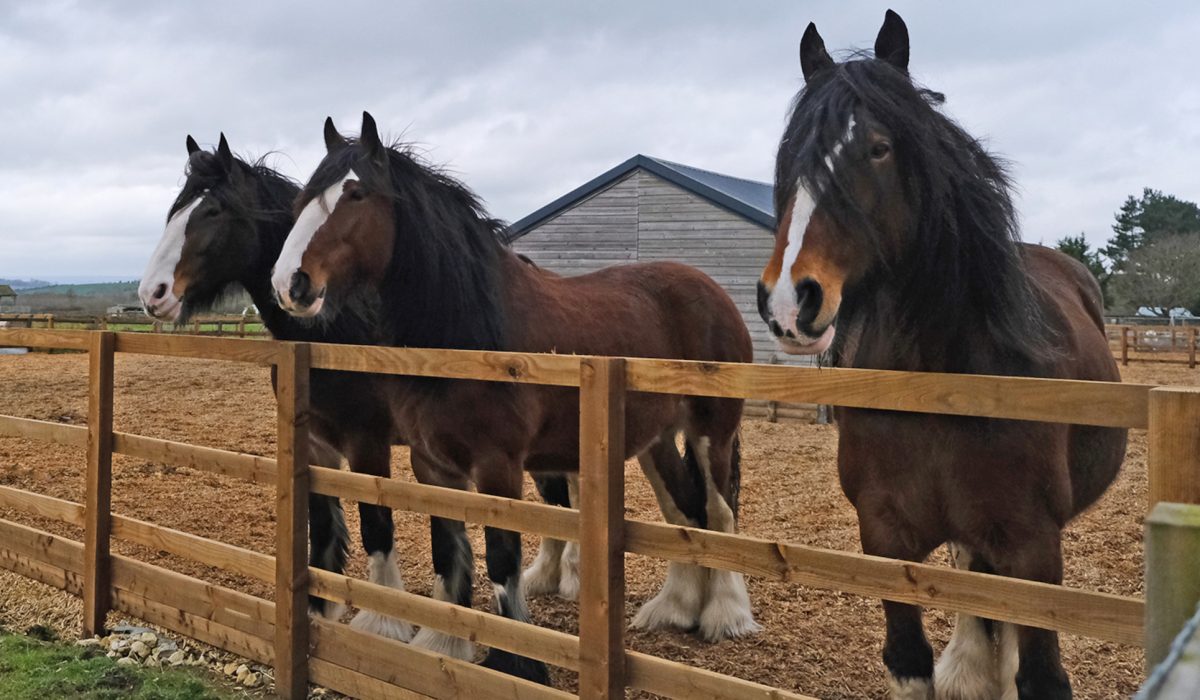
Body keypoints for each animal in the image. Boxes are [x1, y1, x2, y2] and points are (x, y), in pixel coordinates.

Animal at [268, 112, 760, 683]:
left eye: (356, 194)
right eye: (304, 198)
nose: (289, 283)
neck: (470, 331)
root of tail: (713, 290)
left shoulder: (497, 466)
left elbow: (502, 561)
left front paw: (517, 664)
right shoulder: (432, 465)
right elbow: (448, 550)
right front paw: (445, 644)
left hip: (711, 434)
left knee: (720, 516)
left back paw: (724, 616)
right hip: (653, 441)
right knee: (685, 514)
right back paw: (676, 610)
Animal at [757, 11, 1126, 700]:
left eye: (878, 148)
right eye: (790, 157)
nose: (791, 300)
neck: (936, 387)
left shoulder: (1032, 551)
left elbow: (1039, 675)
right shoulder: (884, 538)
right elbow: (910, 657)